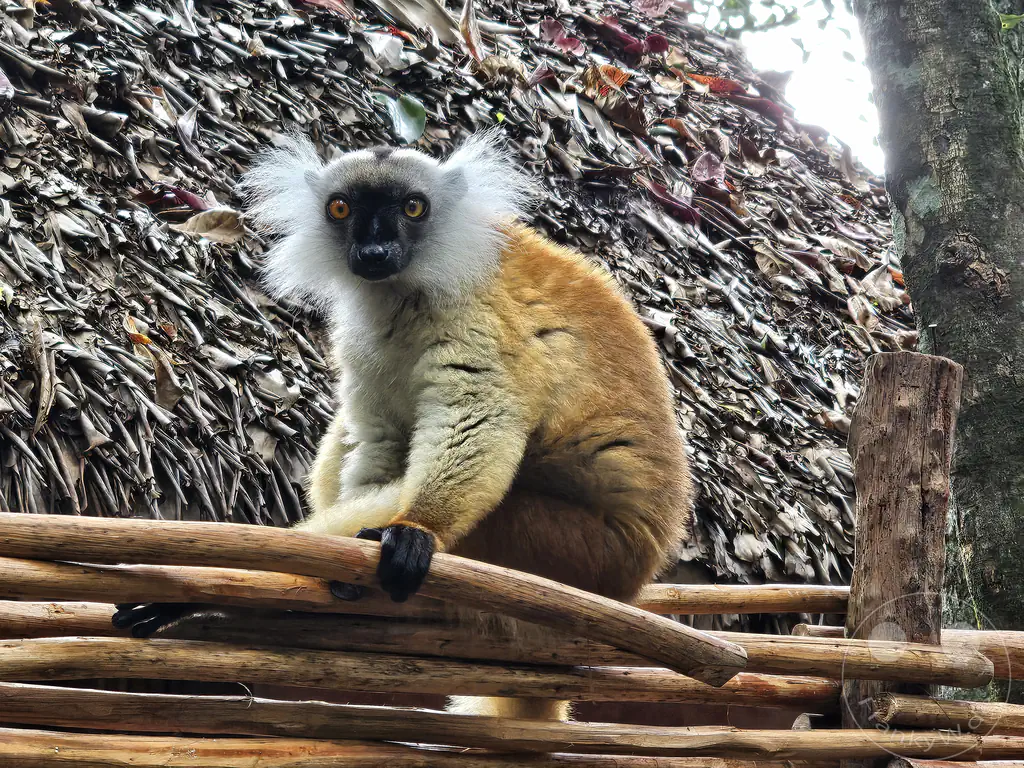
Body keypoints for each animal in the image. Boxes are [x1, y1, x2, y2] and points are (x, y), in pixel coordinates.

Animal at [113, 130, 694, 723]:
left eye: (413, 208)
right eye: (341, 209)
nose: (373, 252)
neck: (404, 288)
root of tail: (634, 577)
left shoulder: (474, 314)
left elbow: (477, 420)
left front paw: (417, 529)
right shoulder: (368, 333)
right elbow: (382, 437)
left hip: (575, 554)